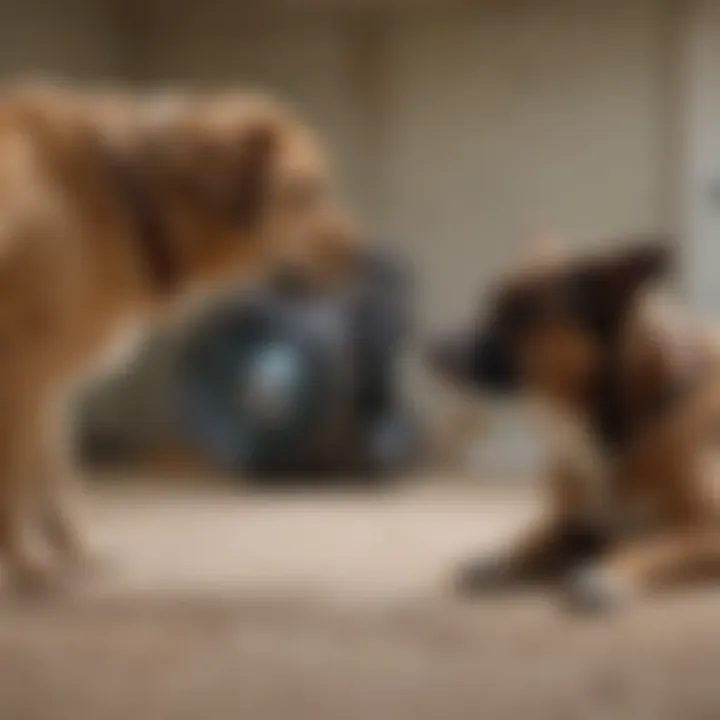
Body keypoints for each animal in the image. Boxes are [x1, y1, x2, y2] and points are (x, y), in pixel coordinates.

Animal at [0, 81, 356, 592]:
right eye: (302, 192)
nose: (362, 255)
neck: (128, 197)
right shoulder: (23, 366)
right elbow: (20, 475)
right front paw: (30, 565)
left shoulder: (48, 379)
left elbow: (55, 471)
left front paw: (73, 550)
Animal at [430, 239, 720, 612]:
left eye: (520, 314)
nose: (431, 351)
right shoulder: (575, 520)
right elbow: (535, 536)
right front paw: (501, 557)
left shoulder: (708, 528)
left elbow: (655, 545)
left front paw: (610, 573)